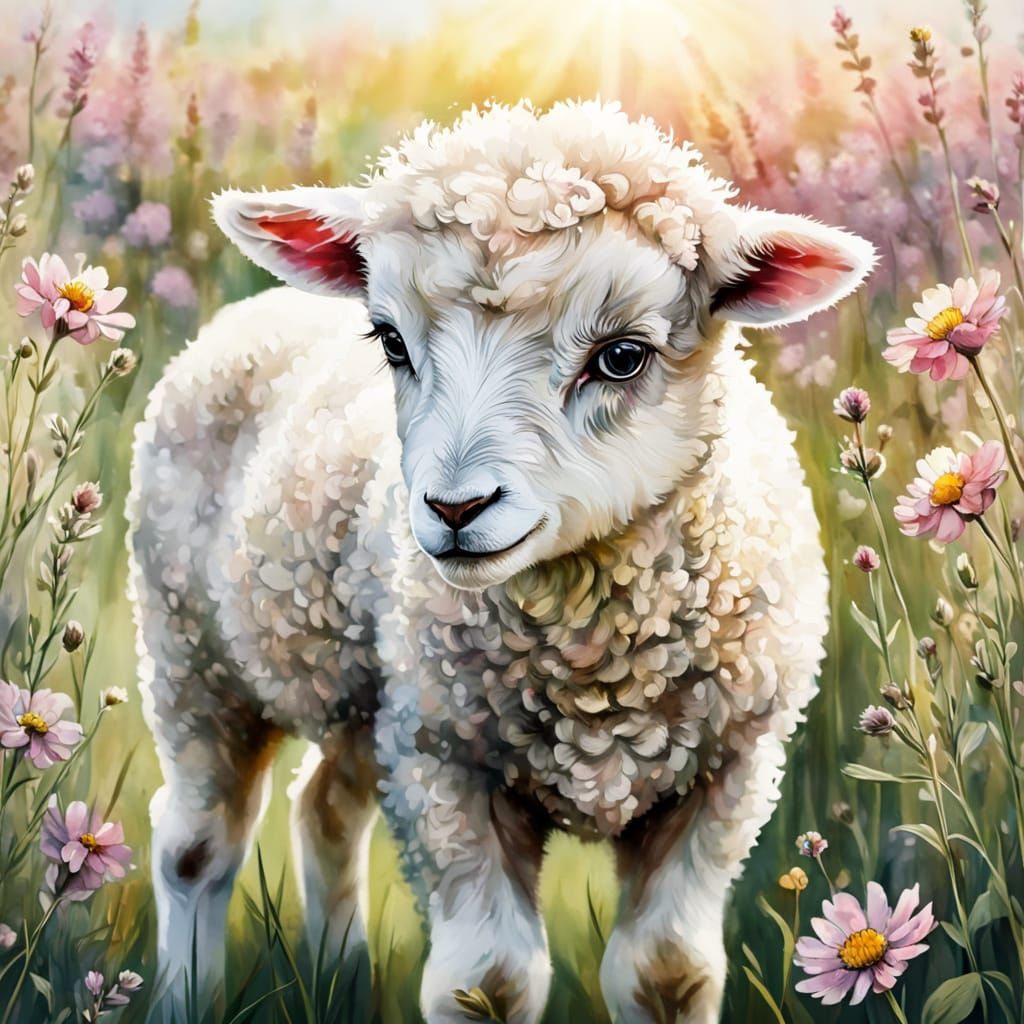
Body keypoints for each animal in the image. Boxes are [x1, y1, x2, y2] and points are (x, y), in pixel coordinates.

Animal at [126, 99, 874, 1023]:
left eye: (621, 356)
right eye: (391, 342)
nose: (454, 510)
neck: (594, 666)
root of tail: (253, 312)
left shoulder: (726, 771)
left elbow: (668, 973)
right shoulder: (445, 765)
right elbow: (488, 983)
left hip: (369, 697)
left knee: (323, 810)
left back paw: (342, 977)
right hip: (194, 654)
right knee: (197, 845)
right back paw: (186, 994)